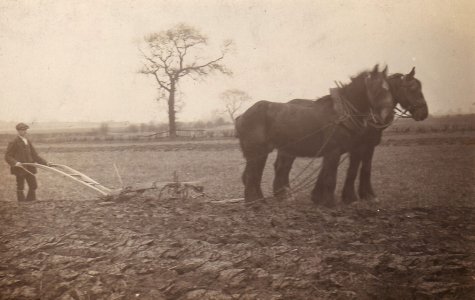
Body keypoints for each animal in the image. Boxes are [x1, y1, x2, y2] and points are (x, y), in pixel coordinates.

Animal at [236, 64, 396, 207]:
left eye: (390, 89)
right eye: (377, 88)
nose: (387, 116)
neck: (340, 114)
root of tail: (242, 115)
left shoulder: (340, 151)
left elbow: (330, 174)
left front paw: (322, 199)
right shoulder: (334, 151)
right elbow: (331, 178)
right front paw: (330, 203)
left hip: (263, 153)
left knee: (255, 175)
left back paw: (260, 201)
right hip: (257, 151)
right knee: (252, 176)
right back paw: (253, 204)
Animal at [274, 67, 430, 205]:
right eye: (413, 89)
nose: (424, 113)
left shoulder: (367, 145)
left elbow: (362, 168)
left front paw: (318, 195)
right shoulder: (356, 147)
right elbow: (354, 169)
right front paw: (354, 197)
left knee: (282, 166)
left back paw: (282, 193)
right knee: (283, 167)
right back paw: (284, 195)